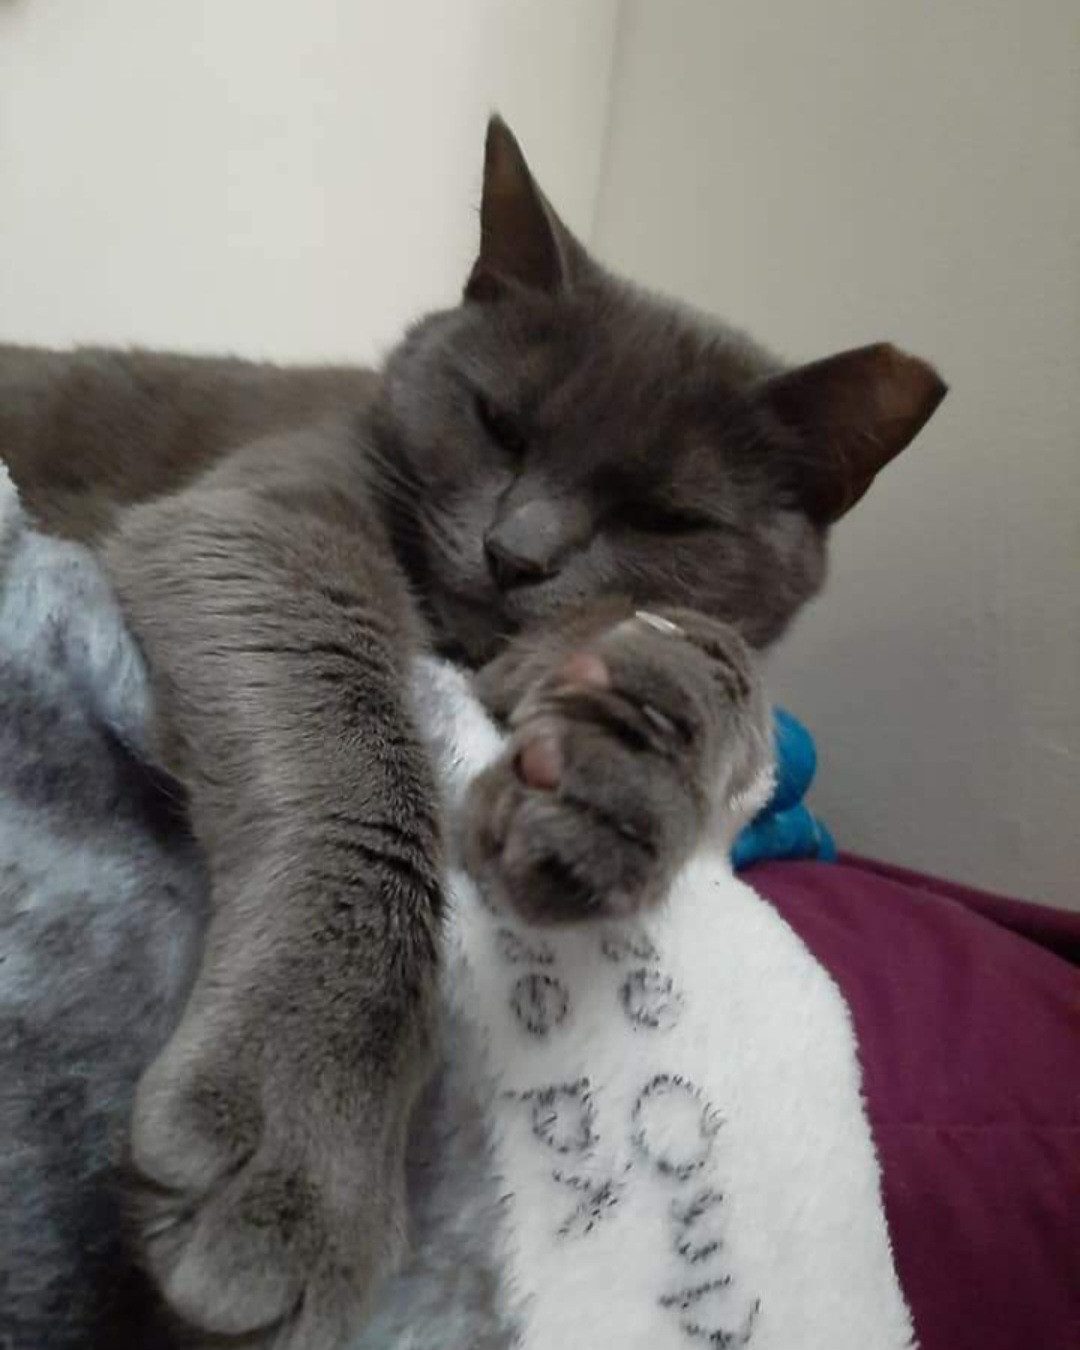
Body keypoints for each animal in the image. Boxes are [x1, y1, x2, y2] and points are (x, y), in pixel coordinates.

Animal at [0, 118, 945, 1350]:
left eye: (665, 516)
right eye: (501, 423)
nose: (516, 553)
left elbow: (717, 673)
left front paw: (616, 778)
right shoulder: (265, 518)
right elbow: (362, 781)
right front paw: (306, 1157)